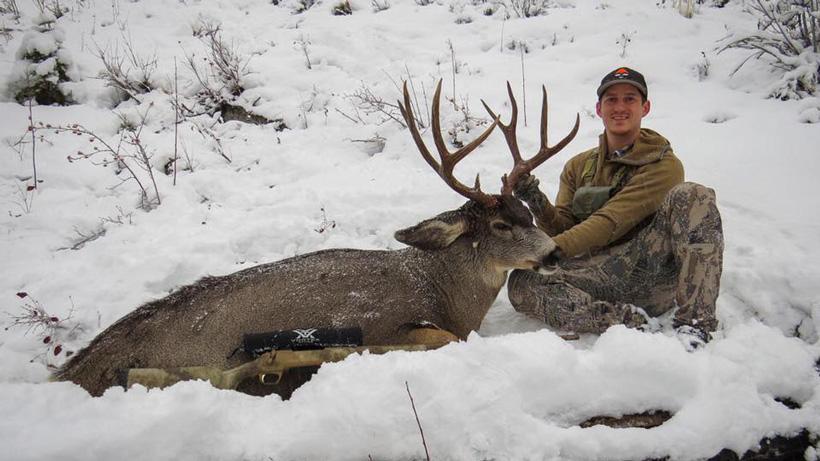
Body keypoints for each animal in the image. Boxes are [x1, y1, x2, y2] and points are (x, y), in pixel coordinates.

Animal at [54, 81, 580, 397]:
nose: (555, 252)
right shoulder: (381, 325)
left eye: (527, 212)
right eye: (500, 225)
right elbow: (443, 338)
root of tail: (74, 369)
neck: (441, 291)